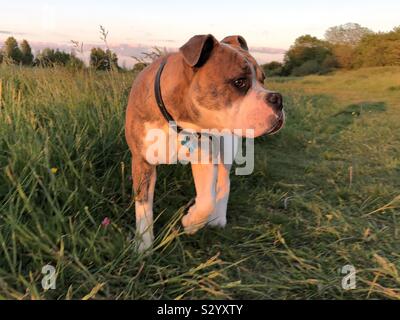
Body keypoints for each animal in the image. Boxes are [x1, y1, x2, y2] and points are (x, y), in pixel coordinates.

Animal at [125, 34, 284, 250]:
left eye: (263, 80)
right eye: (240, 82)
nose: (278, 99)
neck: (180, 122)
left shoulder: (206, 158)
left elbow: (207, 200)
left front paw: (191, 222)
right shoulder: (142, 161)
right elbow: (143, 206)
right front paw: (143, 246)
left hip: (227, 146)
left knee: (224, 182)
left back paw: (218, 218)